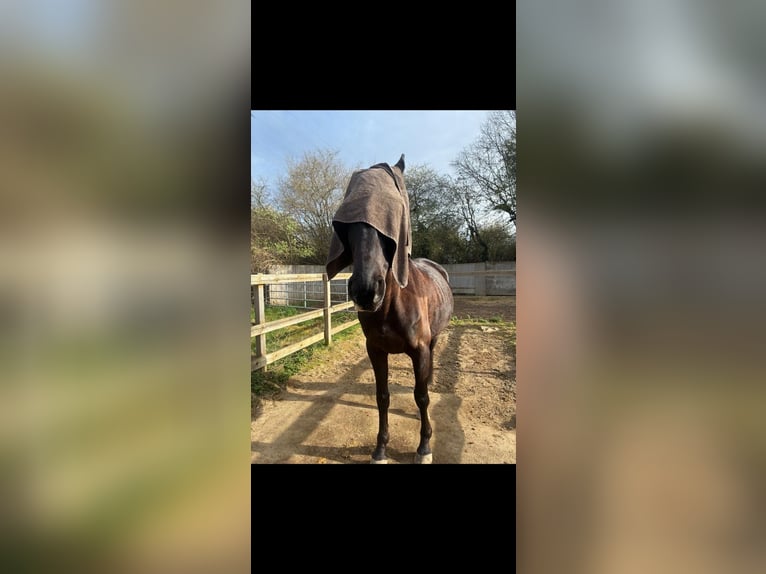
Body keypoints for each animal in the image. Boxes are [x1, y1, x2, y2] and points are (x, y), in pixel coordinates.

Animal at [326, 154, 454, 464]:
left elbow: (421, 397)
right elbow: (382, 397)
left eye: (390, 222)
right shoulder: (375, 350)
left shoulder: (419, 350)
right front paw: (380, 449)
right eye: (347, 227)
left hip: (433, 339)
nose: (366, 290)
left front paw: (424, 447)